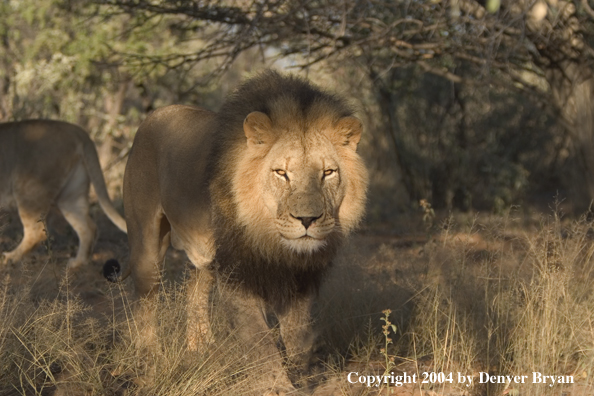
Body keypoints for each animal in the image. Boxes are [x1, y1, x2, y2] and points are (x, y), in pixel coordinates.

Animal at [0, 120, 126, 270]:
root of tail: (77, 130)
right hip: (71, 195)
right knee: (88, 227)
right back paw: (78, 263)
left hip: (29, 189)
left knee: (36, 233)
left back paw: (9, 258)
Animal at [107, 70, 366, 392]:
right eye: (281, 173)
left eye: (328, 173)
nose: (307, 219)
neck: (272, 240)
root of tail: (154, 115)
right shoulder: (237, 271)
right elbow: (258, 337)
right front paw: (276, 386)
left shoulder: (300, 277)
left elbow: (297, 332)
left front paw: (304, 377)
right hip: (147, 247)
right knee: (144, 304)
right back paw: (149, 364)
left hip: (205, 255)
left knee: (195, 291)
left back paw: (202, 351)